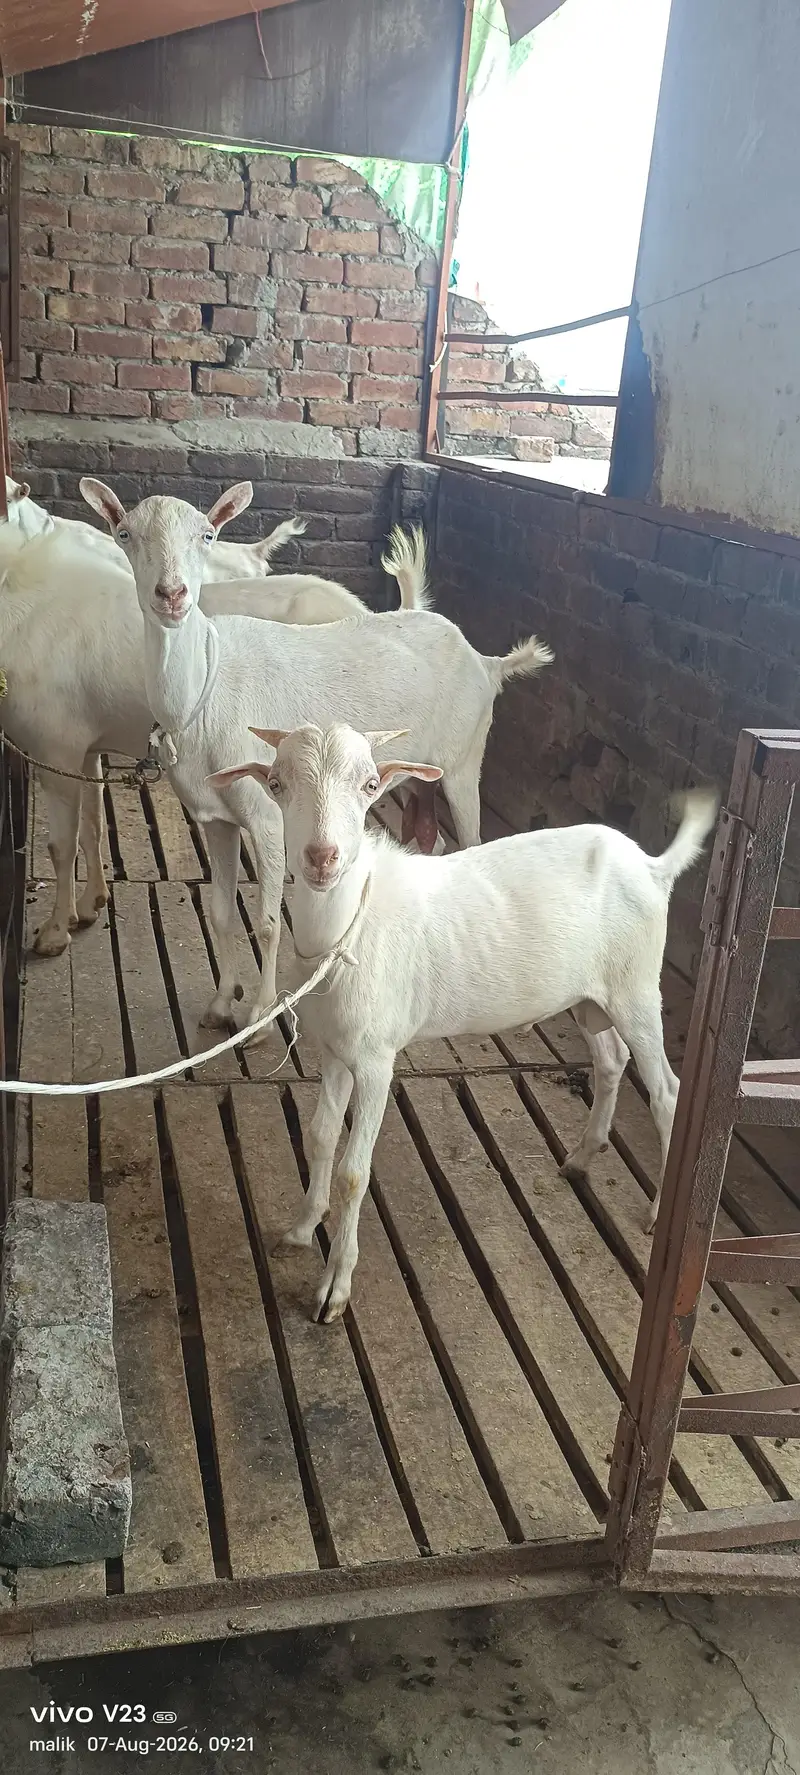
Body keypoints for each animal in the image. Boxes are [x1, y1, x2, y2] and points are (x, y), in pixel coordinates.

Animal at [81, 477, 553, 1033]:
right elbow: (221, 913)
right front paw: (220, 1005)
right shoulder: (215, 817)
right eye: (124, 534)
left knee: (472, 838)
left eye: (208, 534)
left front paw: (261, 1016)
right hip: (421, 772)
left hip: (464, 758)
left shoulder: (266, 815)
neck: (206, 690)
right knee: (431, 840)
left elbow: (266, 922)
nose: (172, 595)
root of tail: (487, 661)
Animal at [211, 723, 717, 1321]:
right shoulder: (335, 1050)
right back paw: (579, 1158)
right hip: (592, 995)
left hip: (637, 989)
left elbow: (354, 1172)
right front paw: (301, 1227)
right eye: (276, 783)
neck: (348, 929)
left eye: (371, 784)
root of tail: (652, 866)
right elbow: (318, 1138)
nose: (321, 857)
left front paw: (334, 1288)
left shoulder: (376, 1060)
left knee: (666, 1094)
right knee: (611, 1059)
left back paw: (658, 1212)